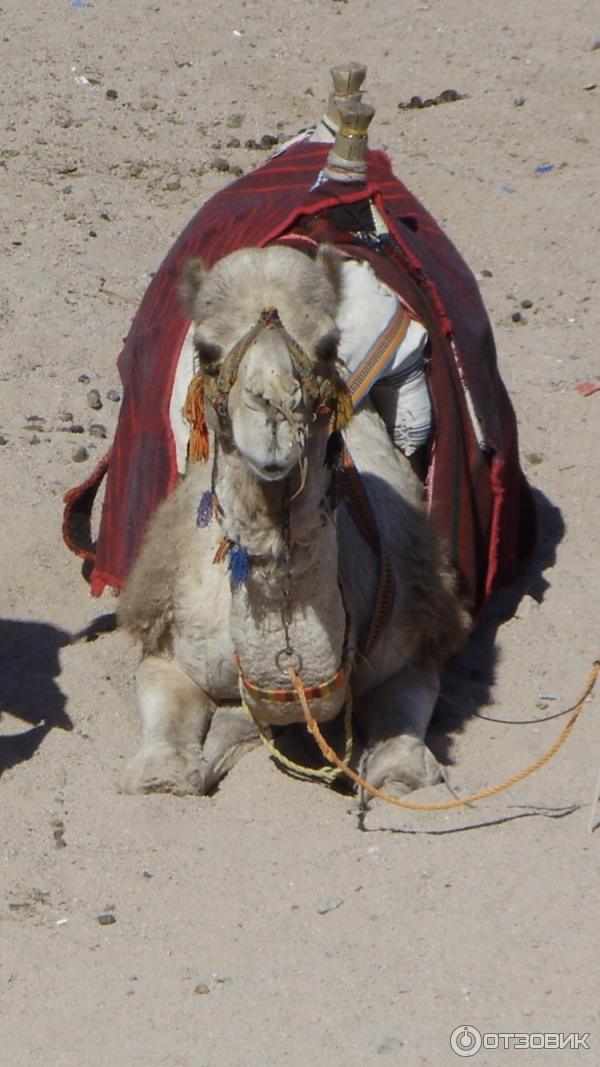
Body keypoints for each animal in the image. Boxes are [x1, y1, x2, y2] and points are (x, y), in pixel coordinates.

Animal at [115, 240, 463, 793]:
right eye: (207, 352)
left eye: (327, 345)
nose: (273, 409)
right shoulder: (169, 653)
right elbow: (165, 765)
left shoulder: (409, 655)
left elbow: (401, 765)